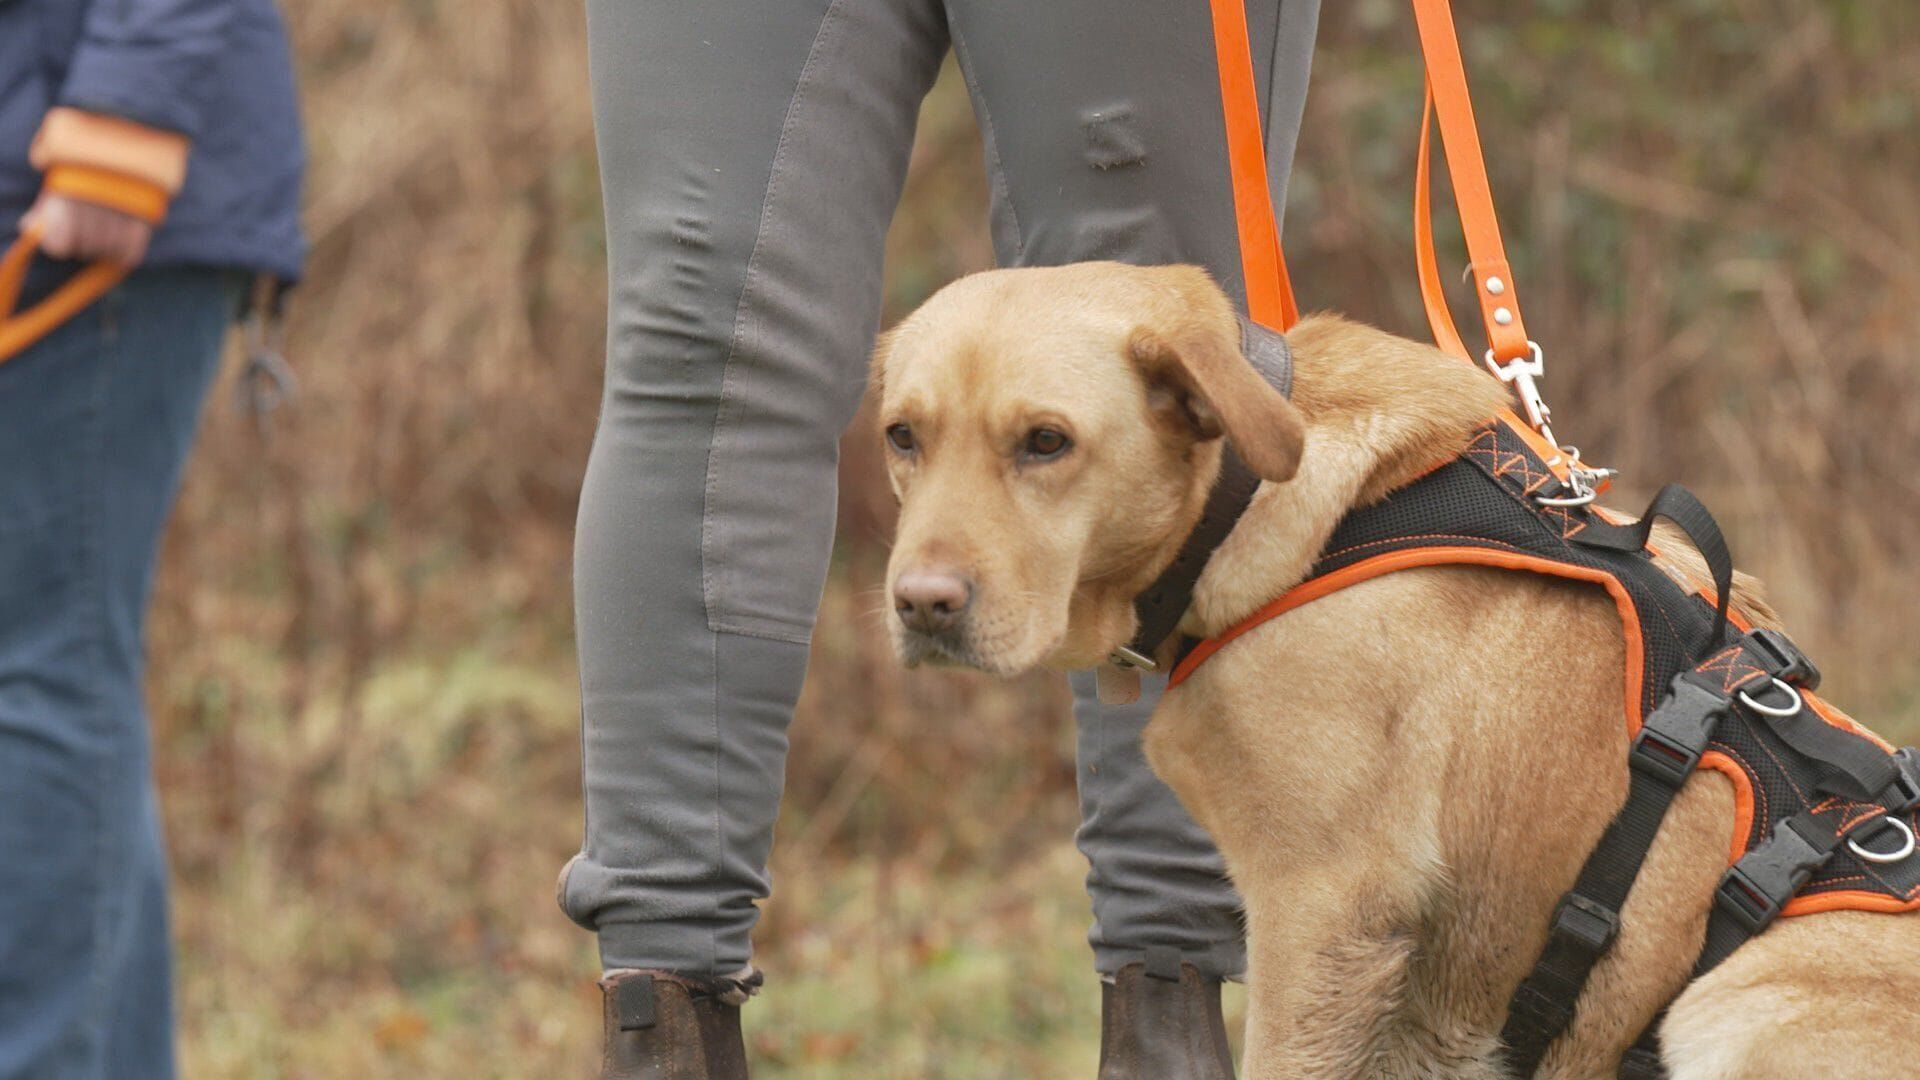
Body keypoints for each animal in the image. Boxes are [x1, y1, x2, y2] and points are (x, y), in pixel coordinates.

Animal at [875, 263, 1920, 1076]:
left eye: (1047, 441)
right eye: (902, 437)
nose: (921, 606)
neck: (1252, 504)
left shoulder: (1321, 908)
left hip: (1739, 995)